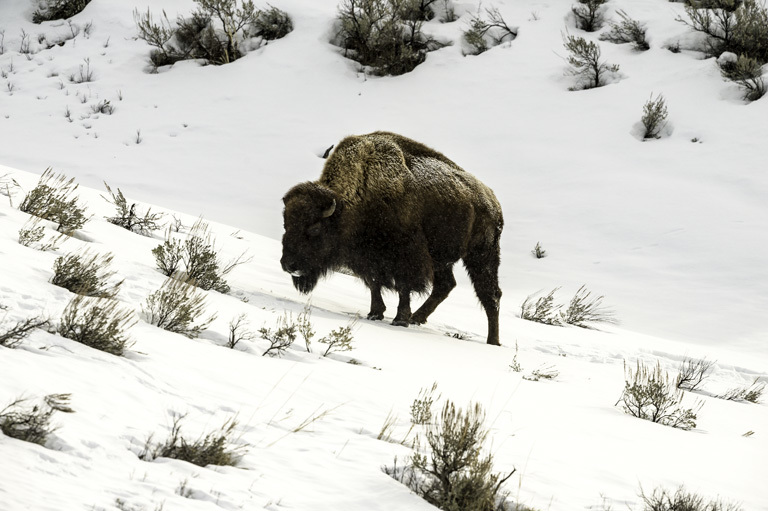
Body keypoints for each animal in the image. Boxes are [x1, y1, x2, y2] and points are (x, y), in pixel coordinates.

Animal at [280, 133, 504, 348]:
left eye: (315, 228)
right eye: (286, 224)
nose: (288, 265)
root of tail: (493, 201)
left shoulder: (406, 256)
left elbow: (404, 287)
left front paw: (400, 319)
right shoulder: (369, 258)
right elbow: (374, 283)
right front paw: (375, 313)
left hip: (481, 255)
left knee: (491, 295)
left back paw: (492, 341)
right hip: (442, 260)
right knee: (446, 285)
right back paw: (418, 318)